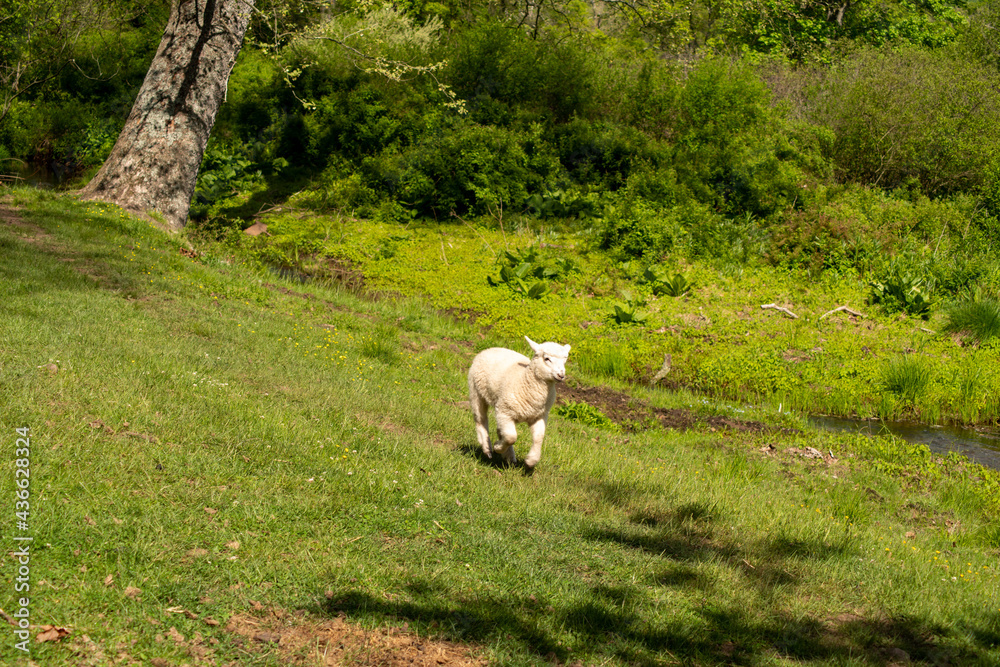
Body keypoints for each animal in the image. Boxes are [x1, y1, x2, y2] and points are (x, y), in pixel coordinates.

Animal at [467, 336, 571, 469]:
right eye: (547, 358)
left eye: (565, 360)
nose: (561, 375)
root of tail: (490, 349)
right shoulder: (504, 412)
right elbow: (511, 437)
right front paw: (498, 447)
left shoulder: (539, 416)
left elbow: (539, 437)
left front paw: (531, 460)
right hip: (476, 391)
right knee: (481, 419)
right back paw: (488, 448)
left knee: (500, 430)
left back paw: (509, 457)